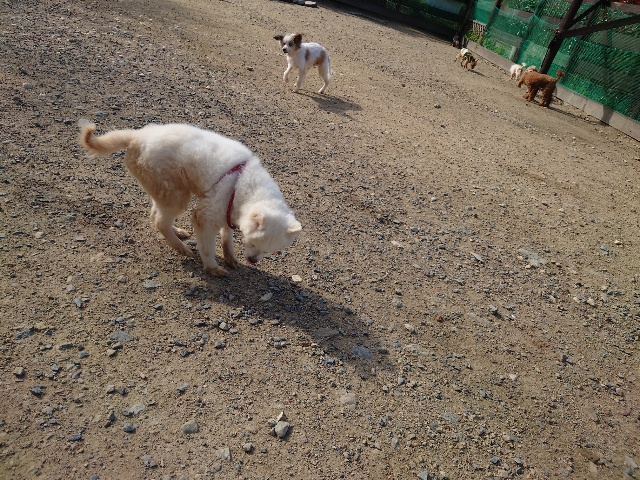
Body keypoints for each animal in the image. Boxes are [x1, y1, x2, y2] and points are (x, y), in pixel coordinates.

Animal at [78, 122, 302, 276]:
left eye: (269, 251)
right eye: (254, 243)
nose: (253, 261)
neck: (244, 184)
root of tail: (137, 136)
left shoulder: (228, 211)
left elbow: (227, 237)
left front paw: (230, 257)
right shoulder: (205, 216)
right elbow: (207, 247)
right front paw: (213, 269)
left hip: (166, 189)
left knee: (155, 213)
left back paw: (178, 233)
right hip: (177, 195)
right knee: (160, 221)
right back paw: (182, 248)